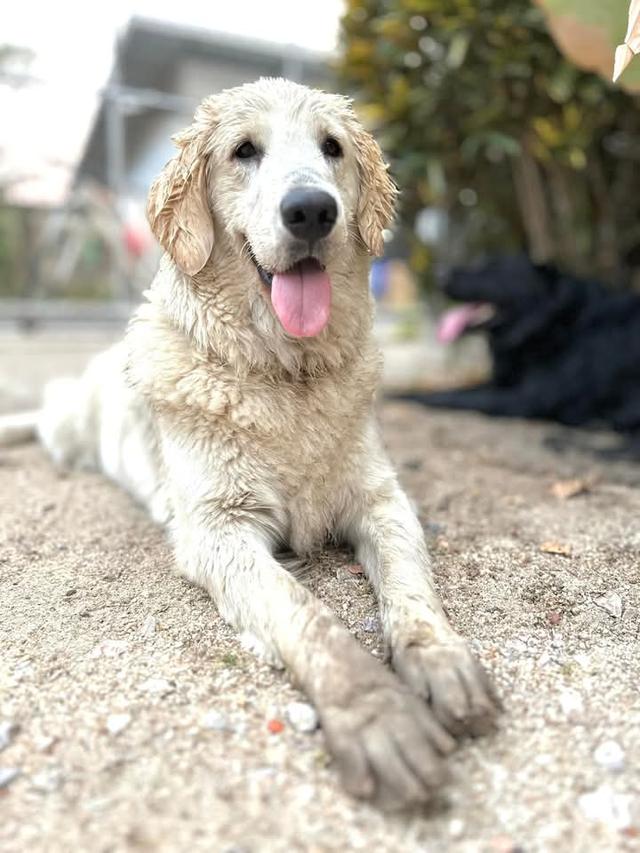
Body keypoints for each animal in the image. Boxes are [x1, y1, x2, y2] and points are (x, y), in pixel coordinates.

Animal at [1, 78, 500, 804]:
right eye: (243, 151)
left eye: (332, 148)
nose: (312, 210)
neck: (286, 375)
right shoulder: (218, 530)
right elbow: (306, 615)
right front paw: (374, 712)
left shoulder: (383, 501)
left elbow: (411, 589)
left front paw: (438, 658)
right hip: (69, 422)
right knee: (43, 415)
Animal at [402, 255, 640, 432]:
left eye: (494, 270)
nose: (438, 274)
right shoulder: (502, 384)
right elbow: (459, 389)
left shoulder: (525, 398)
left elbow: (458, 396)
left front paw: (408, 396)